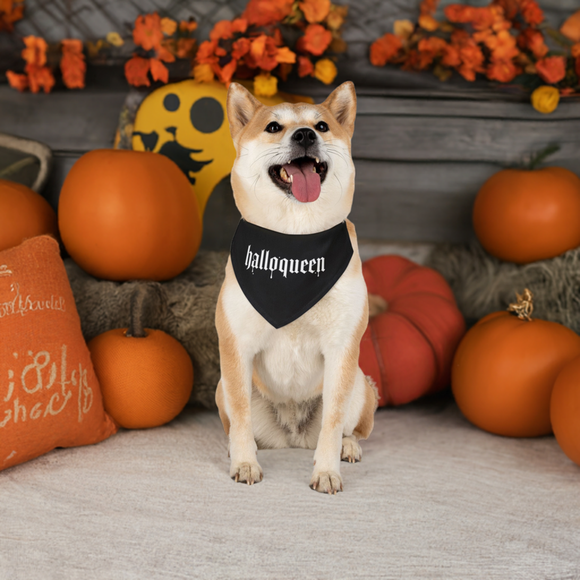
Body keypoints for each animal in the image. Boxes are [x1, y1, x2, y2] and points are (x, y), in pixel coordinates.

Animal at [215, 81, 378, 494]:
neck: (294, 240)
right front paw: (245, 462)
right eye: (273, 127)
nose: (304, 135)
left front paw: (327, 470)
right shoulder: (236, 346)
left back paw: (348, 446)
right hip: (222, 385)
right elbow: (241, 417)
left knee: (351, 428)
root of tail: (292, 434)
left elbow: (333, 422)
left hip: (360, 384)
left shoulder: (341, 348)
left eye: (321, 126)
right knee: (237, 421)